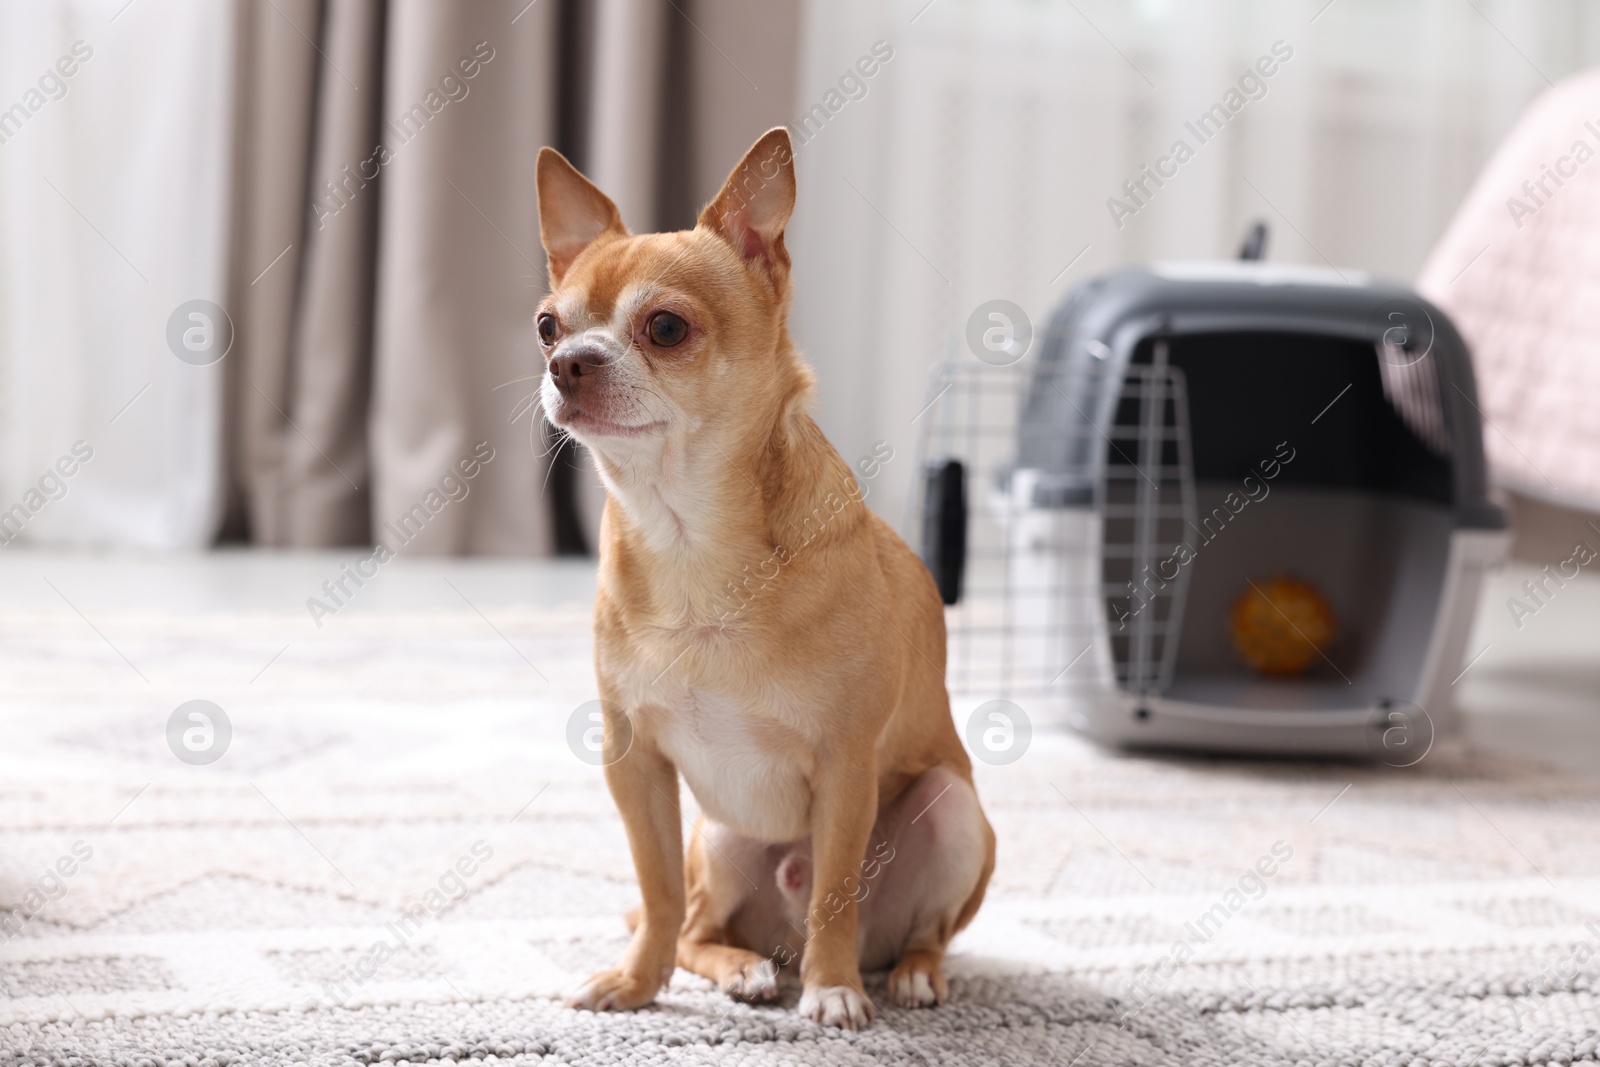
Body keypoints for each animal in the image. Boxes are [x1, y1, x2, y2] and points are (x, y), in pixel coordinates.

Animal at [537, 127, 985, 1036]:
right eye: (545, 325)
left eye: (665, 327)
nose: (568, 362)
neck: (688, 539)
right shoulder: (635, 762)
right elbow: (656, 891)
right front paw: (635, 983)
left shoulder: (845, 766)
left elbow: (835, 892)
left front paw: (832, 987)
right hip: (719, 837)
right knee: (697, 924)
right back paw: (741, 968)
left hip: (956, 809)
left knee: (916, 931)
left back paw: (906, 974)